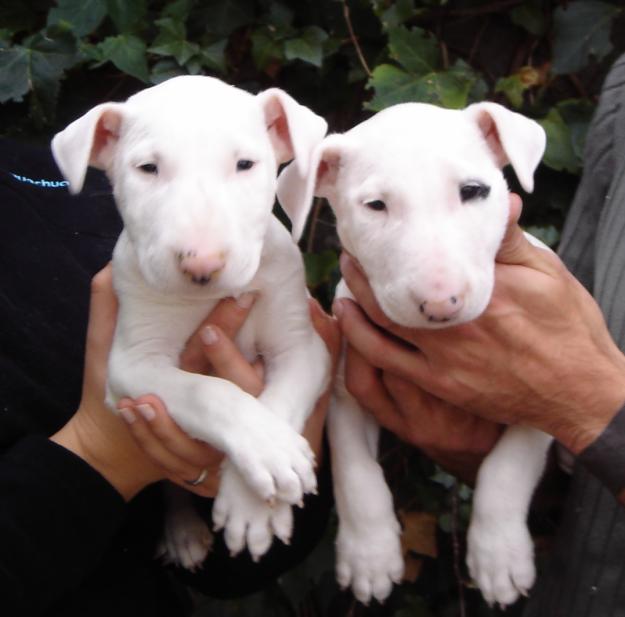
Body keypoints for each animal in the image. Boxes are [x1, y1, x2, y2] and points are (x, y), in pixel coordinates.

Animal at [53, 78, 332, 568]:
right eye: (147, 168)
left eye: (245, 164)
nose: (202, 264)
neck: (209, 299)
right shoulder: (131, 364)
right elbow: (209, 391)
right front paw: (270, 451)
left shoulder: (303, 345)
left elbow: (279, 399)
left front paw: (253, 507)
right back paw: (182, 530)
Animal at [278, 102, 552, 608]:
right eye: (376, 206)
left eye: (473, 191)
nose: (441, 305)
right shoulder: (347, 388)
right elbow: (355, 469)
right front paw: (369, 557)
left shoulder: (541, 387)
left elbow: (507, 467)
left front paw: (499, 558)